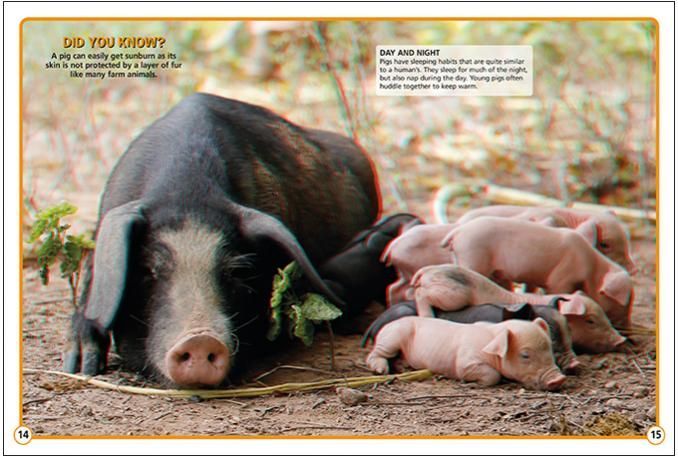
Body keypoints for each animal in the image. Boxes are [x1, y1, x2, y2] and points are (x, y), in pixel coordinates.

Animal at [366, 316, 566, 391]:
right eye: (525, 355)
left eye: (549, 348)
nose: (559, 379)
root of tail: (387, 324)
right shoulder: (465, 362)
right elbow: (492, 375)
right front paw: (472, 383)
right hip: (392, 338)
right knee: (373, 355)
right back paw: (381, 371)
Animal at [440, 217, 634, 328]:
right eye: (624, 301)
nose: (625, 328)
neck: (591, 267)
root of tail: (458, 231)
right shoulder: (561, 278)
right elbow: (557, 290)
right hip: (473, 257)